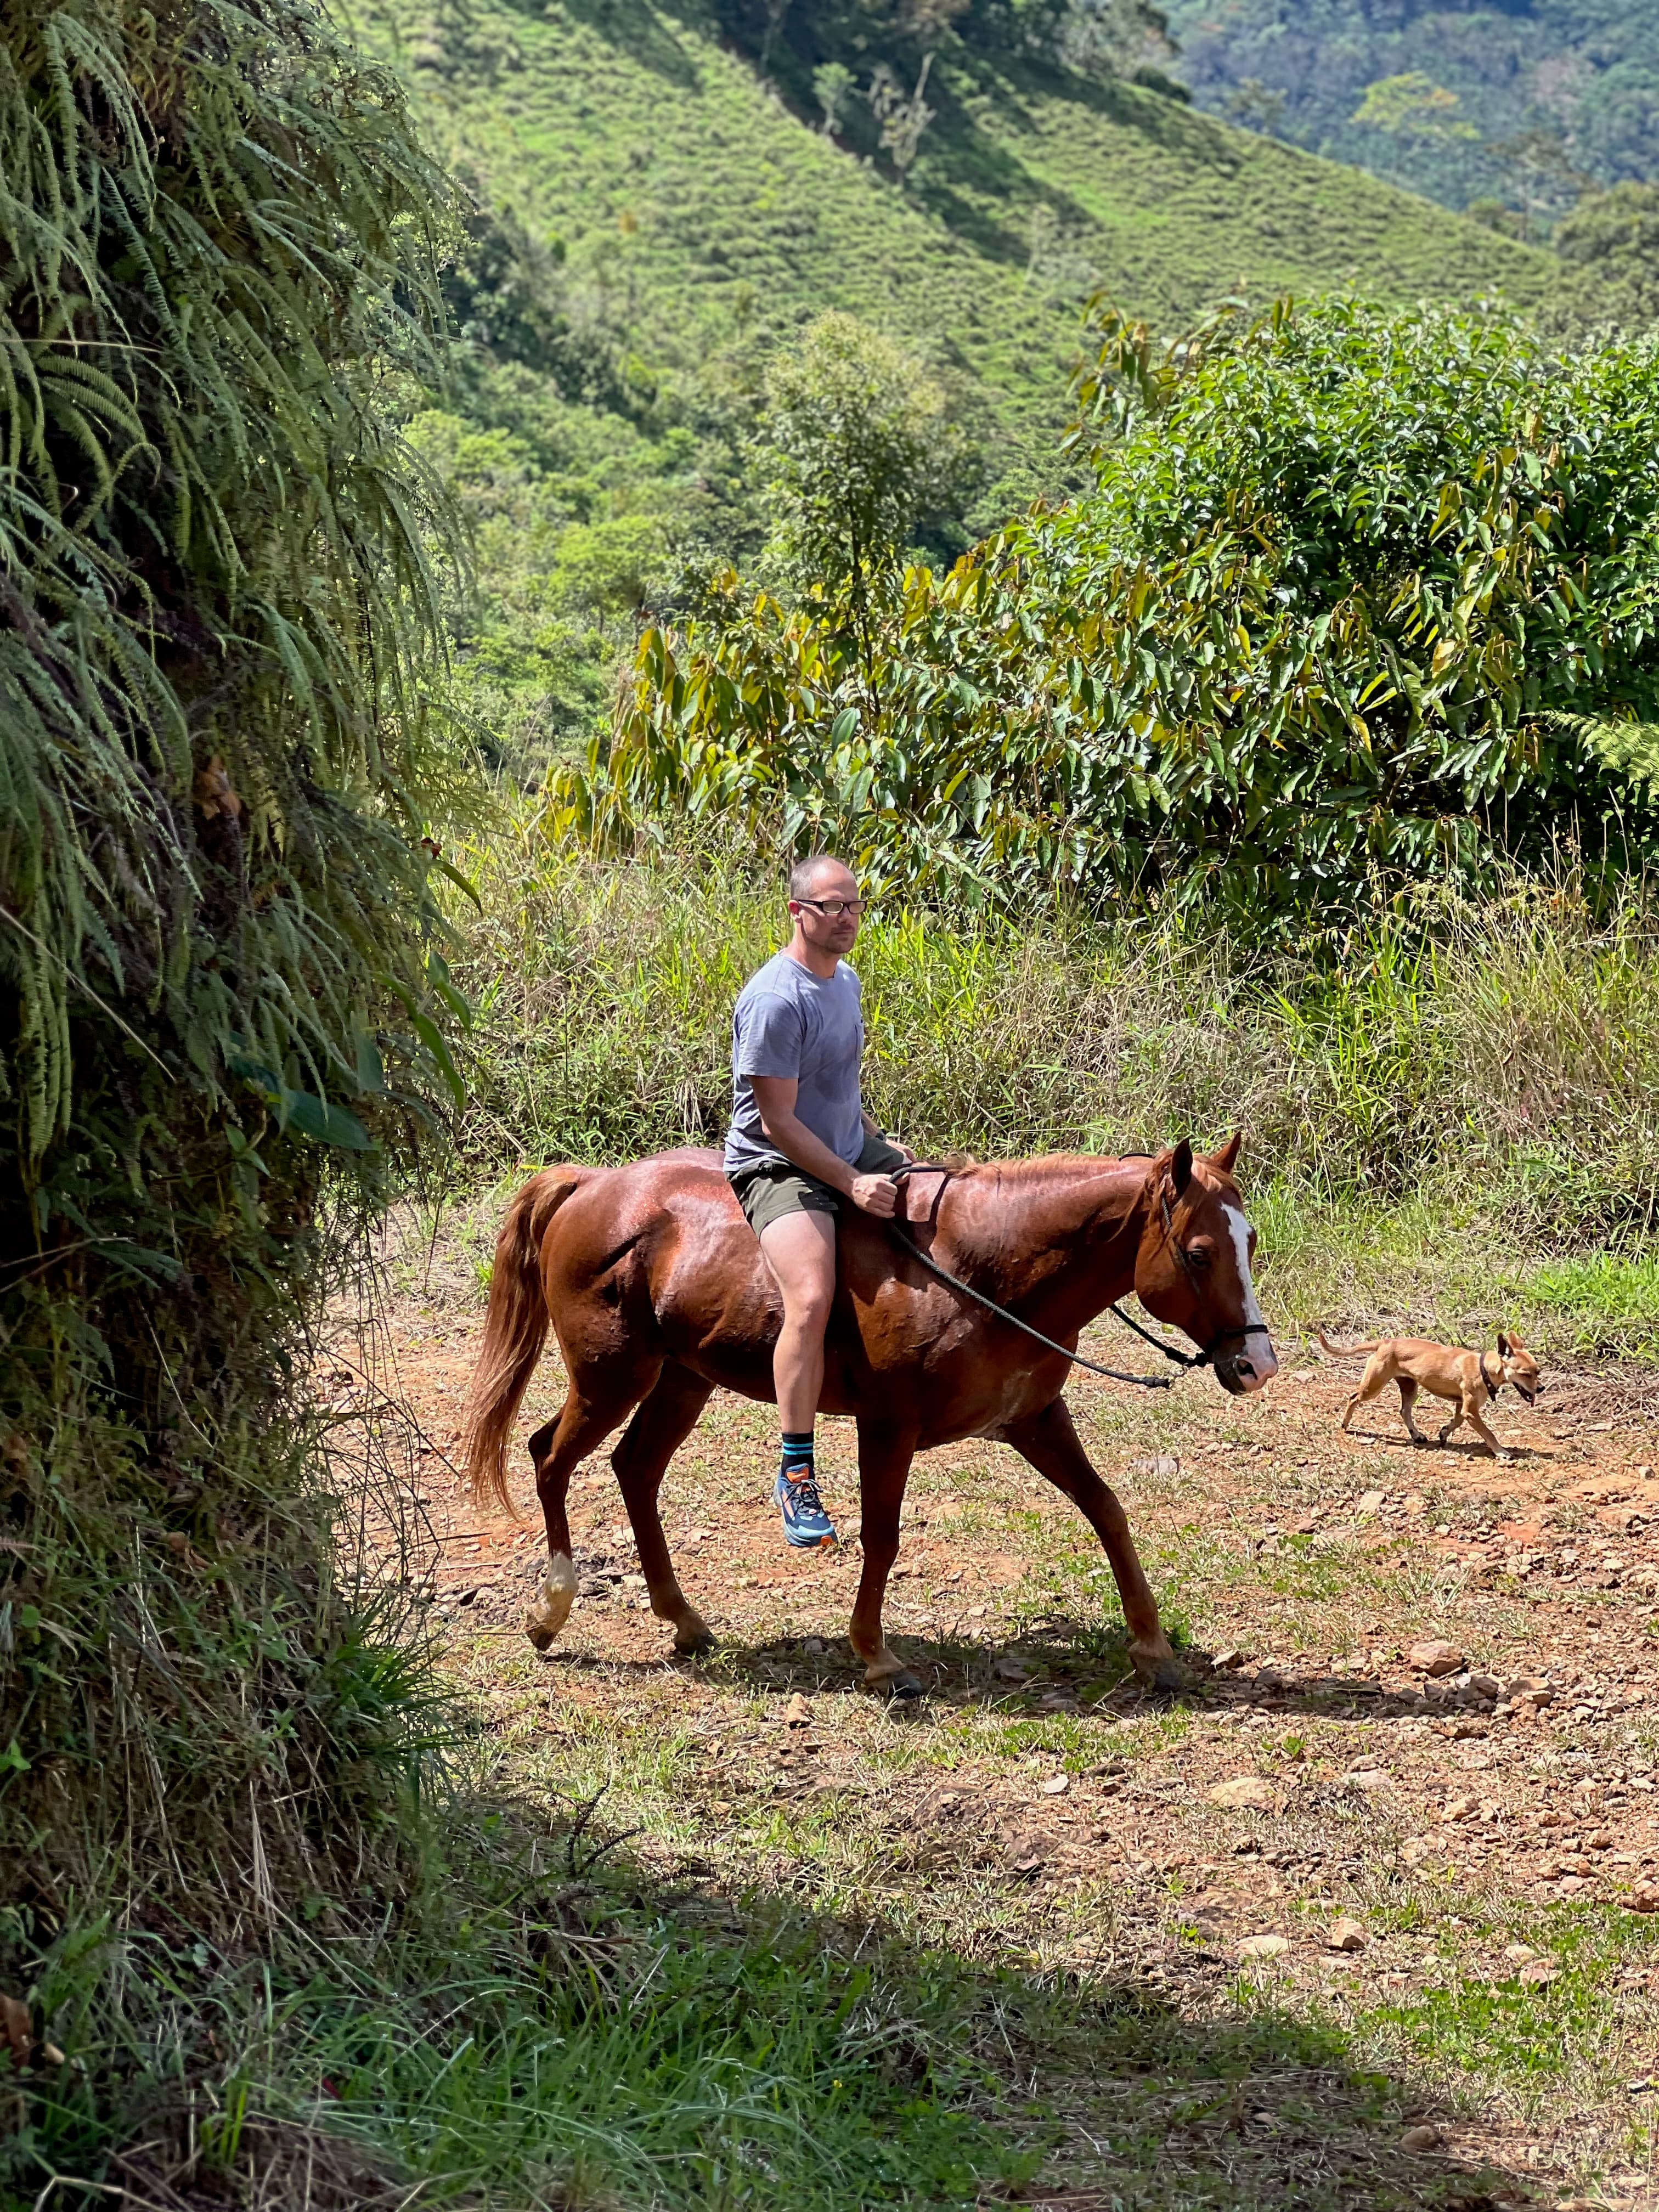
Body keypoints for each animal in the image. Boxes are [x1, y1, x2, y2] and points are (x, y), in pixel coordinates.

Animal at [462, 1134, 1277, 1698]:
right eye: (1199, 1253)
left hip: (681, 1381)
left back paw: (683, 1620)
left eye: (1250, 1242)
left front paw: (1152, 1648)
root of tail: (594, 1185)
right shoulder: (889, 1426)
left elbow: (1107, 1510)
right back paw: (551, 1610)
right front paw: (878, 1656)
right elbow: (882, 1539)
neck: (980, 1271)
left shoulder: (1035, 1419)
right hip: (611, 1378)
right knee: (549, 1459)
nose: (1257, 1364)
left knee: (635, 1469)